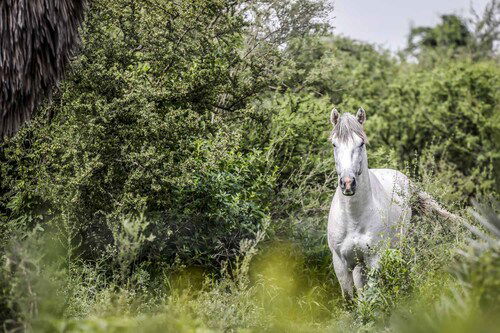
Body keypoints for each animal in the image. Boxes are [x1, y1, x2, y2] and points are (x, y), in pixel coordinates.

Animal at [326, 107, 452, 296]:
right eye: (334, 144)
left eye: (361, 143)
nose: (348, 183)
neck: (353, 218)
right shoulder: (340, 264)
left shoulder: (373, 260)